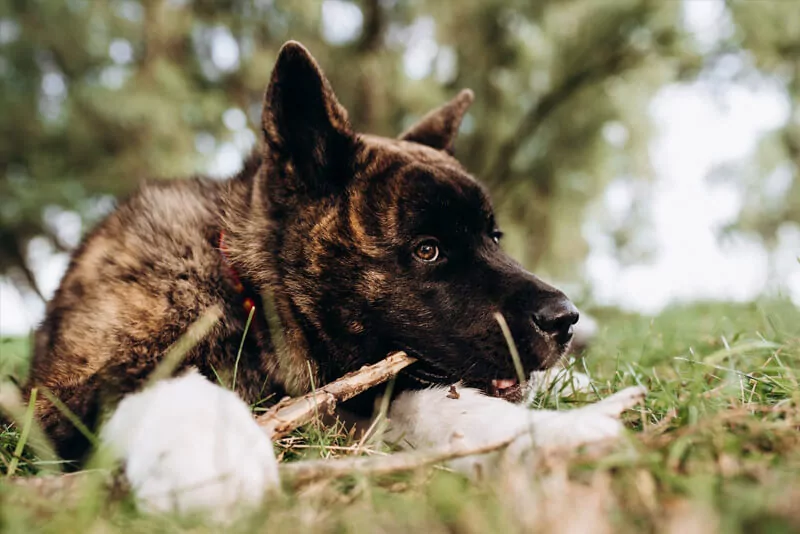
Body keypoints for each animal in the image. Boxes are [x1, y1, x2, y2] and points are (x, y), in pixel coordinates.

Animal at [25, 43, 648, 524]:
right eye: (428, 249)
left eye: (494, 236)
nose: (566, 321)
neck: (248, 300)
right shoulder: (63, 390)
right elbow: (156, 381)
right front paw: (212, 448)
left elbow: (447, 408)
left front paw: (559, 432)